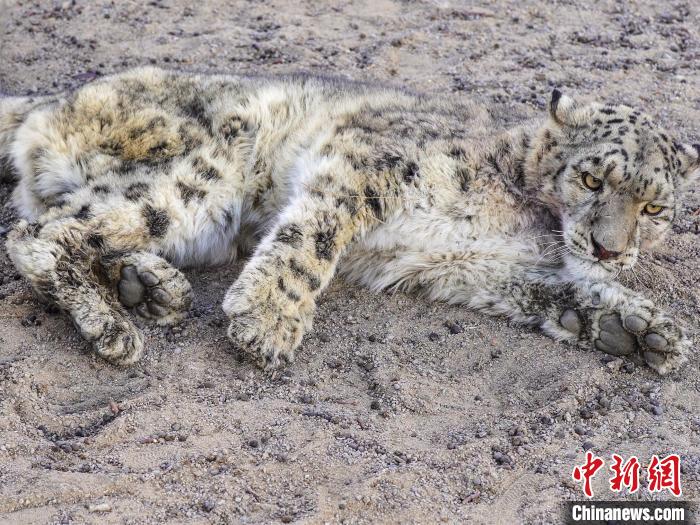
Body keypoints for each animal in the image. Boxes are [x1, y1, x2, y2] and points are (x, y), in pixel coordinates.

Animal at [0, 67, 697, 374]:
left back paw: (148, 288)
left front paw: (638, 331)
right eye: (592, 179)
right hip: (198, 180)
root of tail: (56, 98)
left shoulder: (465, 265)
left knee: (72, 227)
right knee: (39, 234)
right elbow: (314, 234)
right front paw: (267, 321)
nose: (609, 250)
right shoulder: (367, 157)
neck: (526, 222)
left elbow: (554, 292)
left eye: (655, 209)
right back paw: (112, 327)